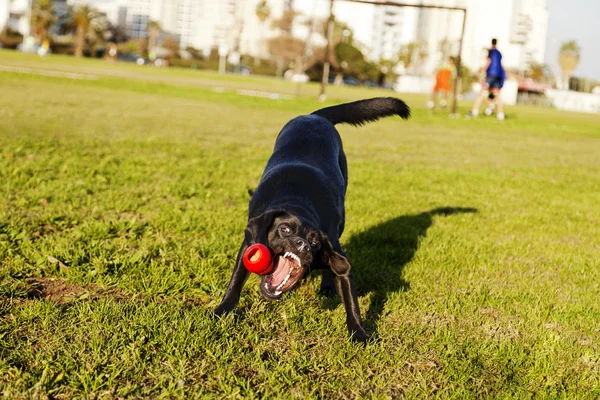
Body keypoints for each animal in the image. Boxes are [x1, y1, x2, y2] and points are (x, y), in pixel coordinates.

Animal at [213, 97, 410, 340]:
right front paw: (222, 310)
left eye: (315, 243)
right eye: (285, 229)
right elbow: (236, 280)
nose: (302, 245)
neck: (300, 204)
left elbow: (350, 298)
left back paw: (326, 288)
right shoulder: (249, 244)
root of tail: (315, 116)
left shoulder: (337, 252)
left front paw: (359, 333)